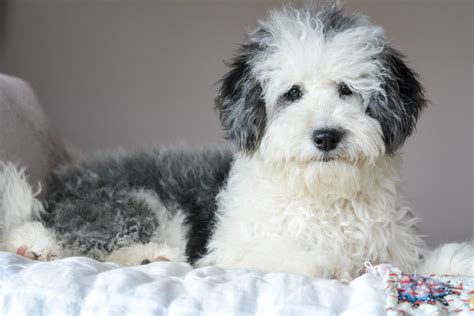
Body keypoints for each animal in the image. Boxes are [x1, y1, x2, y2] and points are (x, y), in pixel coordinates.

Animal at [0, 3, 470, 282]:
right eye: (292, 93)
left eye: (347, 90)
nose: (326, 136)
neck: (323, 197)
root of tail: (57, 190)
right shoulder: (231, 250)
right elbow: (295, 256)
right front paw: (330, 264)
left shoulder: (395, 247)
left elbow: (417, 263)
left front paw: (457, 261)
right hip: (138, 203)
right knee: (79, 236)